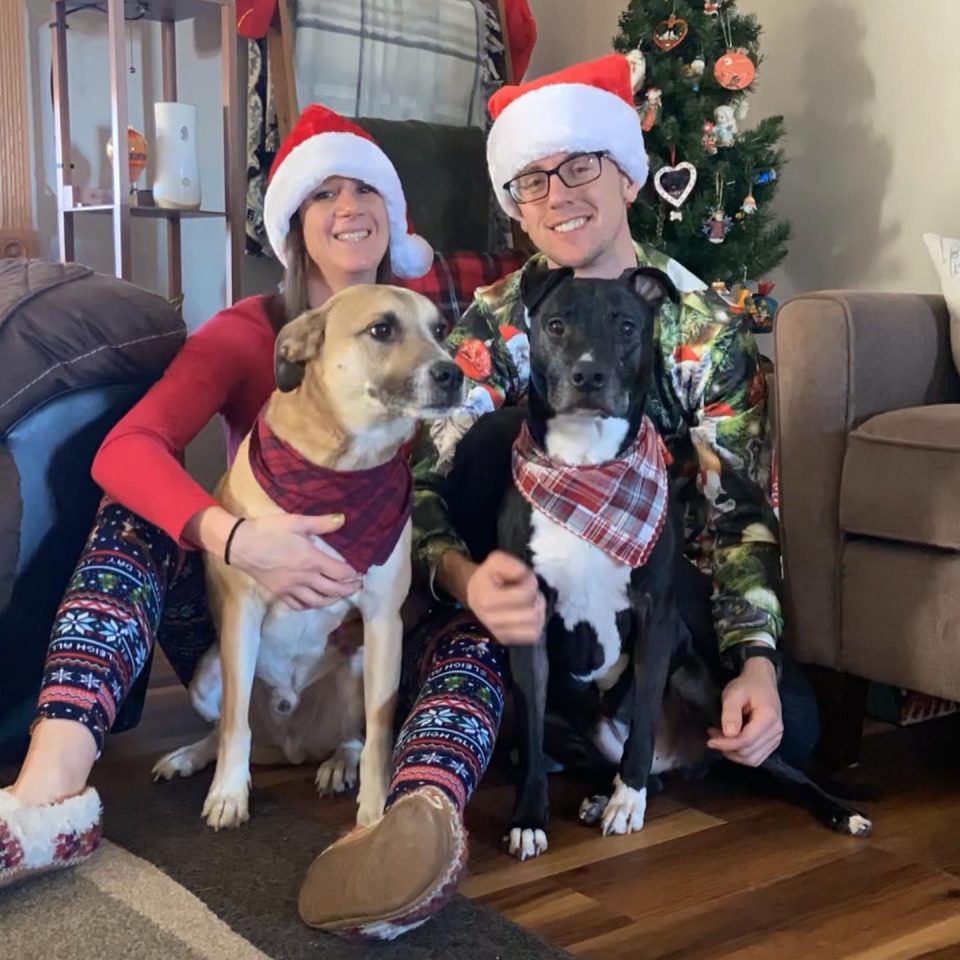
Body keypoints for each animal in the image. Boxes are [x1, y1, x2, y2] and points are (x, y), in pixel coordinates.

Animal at [152, 284, 464, 824]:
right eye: (382, 329)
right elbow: (234, 723)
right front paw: (228, 793)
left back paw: (338, 764)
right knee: (227, 725)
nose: (454, 373)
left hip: (359, 666)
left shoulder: (383, 621)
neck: (341, 470)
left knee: (353, 736)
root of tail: (290, 744)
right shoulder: (242, 612)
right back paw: (192, 757)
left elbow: (380, 732)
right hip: (207, 677)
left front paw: (374, 809)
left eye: (440, 329)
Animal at [446, 264, 872, 864]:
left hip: (710, 691)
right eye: (555, 325)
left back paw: (836, 808)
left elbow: (644, 715)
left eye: (626, 326)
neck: (588, 469)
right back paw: (602, 795)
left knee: (772, 765)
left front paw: (628, 800)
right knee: (588, 757)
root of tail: (688, 759)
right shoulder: (526, 626)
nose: (589, 375)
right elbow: (527, 745)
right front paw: (529, 819)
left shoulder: (657, 618)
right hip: (566, 719)